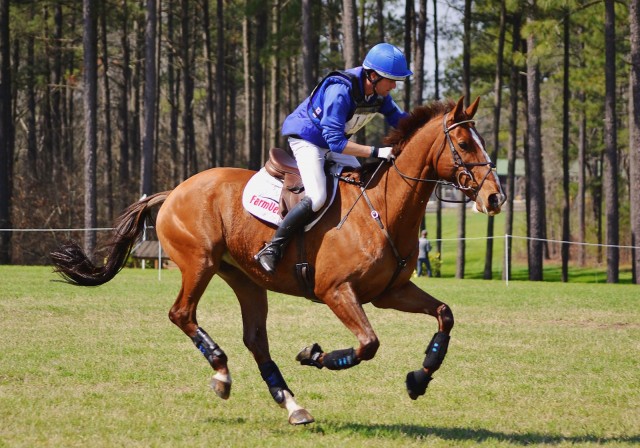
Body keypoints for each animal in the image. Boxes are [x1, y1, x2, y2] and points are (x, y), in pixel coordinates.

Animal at [51, 97, 504, 424]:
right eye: (465, 145)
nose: (495, 197)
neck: (383, 208)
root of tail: (173, 191)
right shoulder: (337, 291)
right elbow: (368, 344)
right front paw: (314, 355)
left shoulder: (391, 292)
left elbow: (444, 315)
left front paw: (418, 379)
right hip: (200, 264)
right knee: (182, 314)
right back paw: (221, 373)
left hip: (245, 279)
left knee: (255, 339)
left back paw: (291, 404)